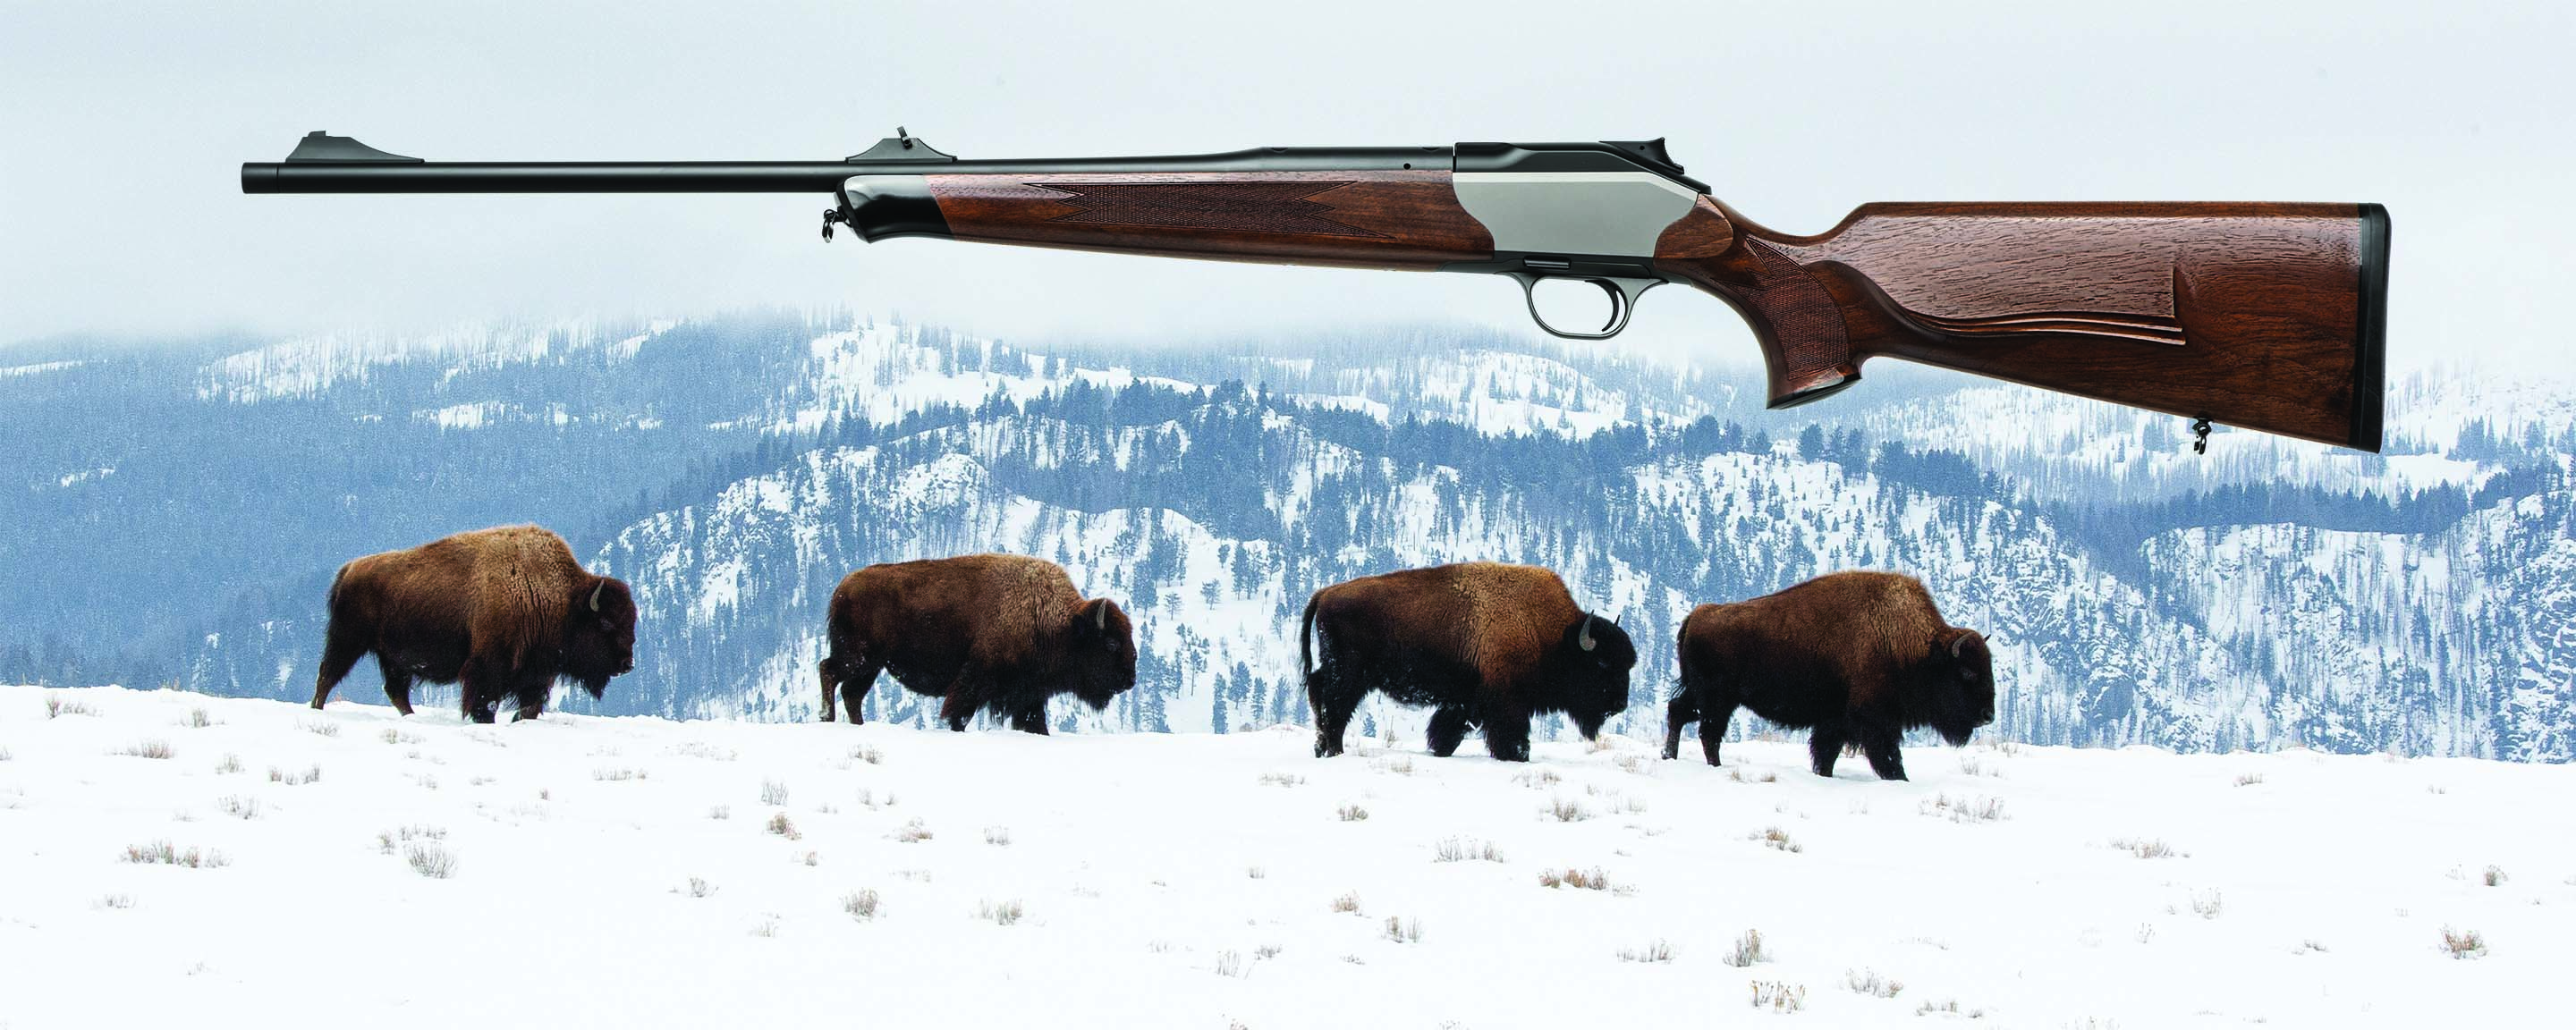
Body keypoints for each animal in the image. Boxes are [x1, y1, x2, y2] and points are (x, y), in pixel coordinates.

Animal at [312, 525, 638, 723]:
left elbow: (530, 707)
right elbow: (484, 703)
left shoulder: (537, 673)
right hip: (347, 641)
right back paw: (317, 709)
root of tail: (349, 569)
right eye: (606, 623)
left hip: (394, 658)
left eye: (631, 621)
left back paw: (412, 717)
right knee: (327, 675)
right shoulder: (487, 667)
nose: (627, 664)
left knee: (395, 690)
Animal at [817, 553, 1135, 732]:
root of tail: (842, 588)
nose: (1130, 680)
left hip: (872, 666)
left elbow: (1036, 723)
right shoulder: (976, 680)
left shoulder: (1030, 695)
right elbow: (958, 714)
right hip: (858, 657)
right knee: (829, 671)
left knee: (852, 693)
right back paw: (826, 718)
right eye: (1111, 644)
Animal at [1302, 562, 1634, 761]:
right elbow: (1513, 737)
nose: (1620, 704)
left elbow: (1448, 731)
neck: (1552, 635)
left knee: (1319, 694)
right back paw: (1334, 751)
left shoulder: (1464, 699)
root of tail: (1325, 593)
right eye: (1603, 664)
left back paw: (1322, 748)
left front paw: (1439, 751)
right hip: (1350, 674)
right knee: (1335, 707)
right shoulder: (1506, 700)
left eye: (1628, 665)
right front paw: (1517, 757)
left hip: (1338, 669)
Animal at [1663, 571, 1993, 779]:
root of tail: (1697, 615)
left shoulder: (1836, 721)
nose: (1988, 715)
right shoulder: (1873, 722)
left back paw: (1670, 757)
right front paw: (1900, 780)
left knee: (1679, 712)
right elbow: (1887, 757)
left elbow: (1826, 753)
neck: (1918, 648)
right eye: (1967, 672)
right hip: (1717, 699)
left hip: (1703, 694)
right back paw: (1714, 767)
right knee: (1708, 732)